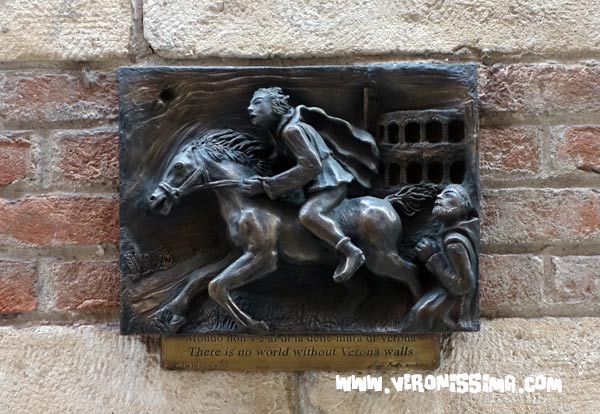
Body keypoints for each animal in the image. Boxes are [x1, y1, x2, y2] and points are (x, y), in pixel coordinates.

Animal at [145, 129, 436, 334]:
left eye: (179, 166)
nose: (154, 200)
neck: (246, 204)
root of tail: (387, 203)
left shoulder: (262, 257)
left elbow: (217, 285)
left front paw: (255, 325)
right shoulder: (236, 253)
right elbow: (199, 277)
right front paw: (172, 314)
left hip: (381, 256)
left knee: (410, 272)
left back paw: (411, 320)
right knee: (361, 289)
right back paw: (338, 322)